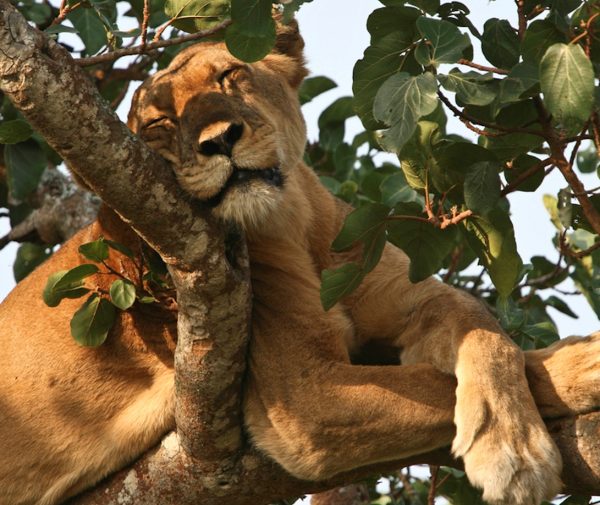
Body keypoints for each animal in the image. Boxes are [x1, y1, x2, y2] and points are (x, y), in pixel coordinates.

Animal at [1, 17, 600, 502]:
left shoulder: (404, 298)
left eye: (229, 76)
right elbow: (445, 380)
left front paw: (515, 433)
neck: (294, 221)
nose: (220, 141)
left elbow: (485, 328)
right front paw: (536, 427)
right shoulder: (304, 397)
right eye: (158, 125)